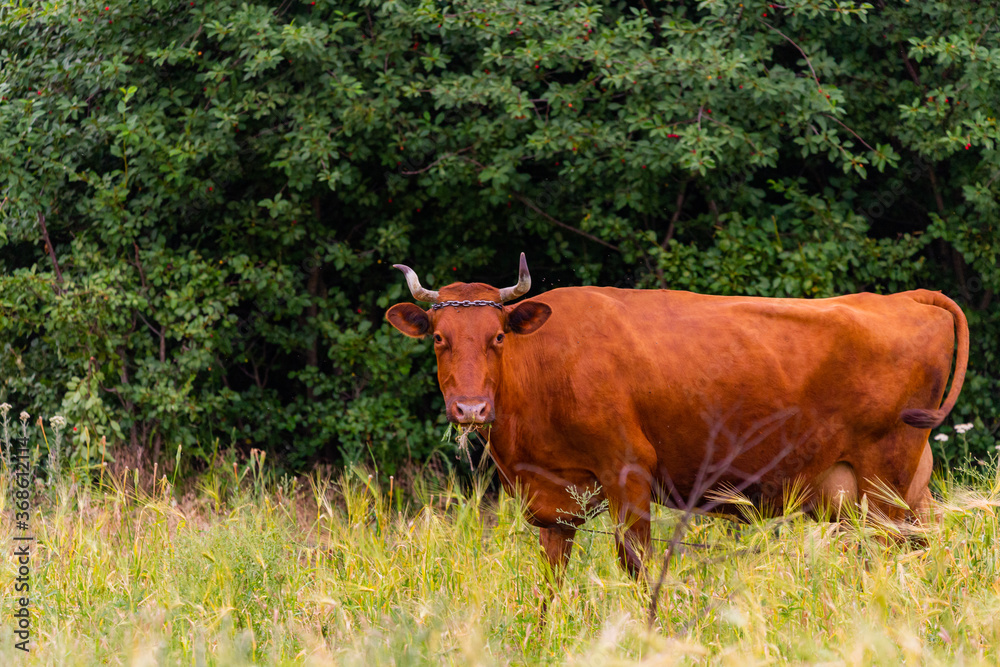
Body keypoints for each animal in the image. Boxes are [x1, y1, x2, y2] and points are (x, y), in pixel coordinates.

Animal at [386, 254, 969, 577]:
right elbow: (551, 575)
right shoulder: (552, 497)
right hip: (897, 486)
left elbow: (635, 562)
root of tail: (906, 297)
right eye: (439, 338)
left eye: (498, 337)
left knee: (899, 549)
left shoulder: (628, 469)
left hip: (886, 477)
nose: (471, 408)